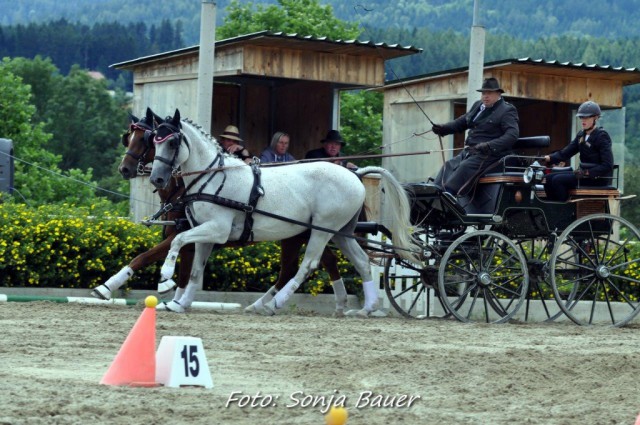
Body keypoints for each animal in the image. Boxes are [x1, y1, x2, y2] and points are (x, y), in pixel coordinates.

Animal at [148, 109, 422, 314]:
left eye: (172, 142)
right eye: (154, 141)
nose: (157, 179)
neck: (214, 177)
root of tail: (354, 174)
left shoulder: (217, 230)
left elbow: (179, 241)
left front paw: (165, 279)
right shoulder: (205, 234)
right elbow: (196, 269)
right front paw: (180, 303)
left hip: (322, 230)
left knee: (308, 264)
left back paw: (276, 303)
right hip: (341, 232)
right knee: (362, 261)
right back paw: (367, 307)